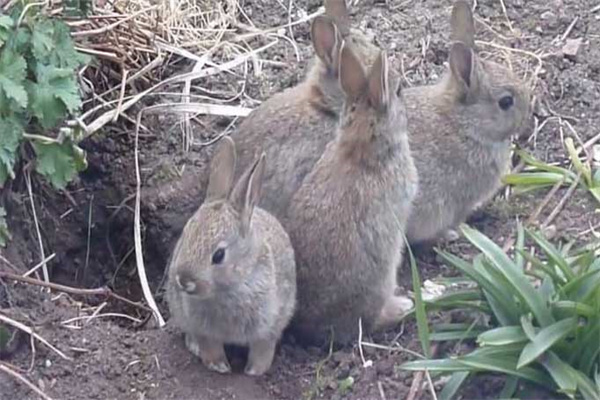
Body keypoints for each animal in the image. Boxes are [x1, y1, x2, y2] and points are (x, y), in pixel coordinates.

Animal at [165, 137, 296, 376]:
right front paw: (219, 366)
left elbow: (263, 347)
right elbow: (210, 345)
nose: (184, 281)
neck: (231, 287)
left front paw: (254, 370)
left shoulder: (270, 323)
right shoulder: (202, 327)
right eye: (185, 235)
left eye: (218, 255)